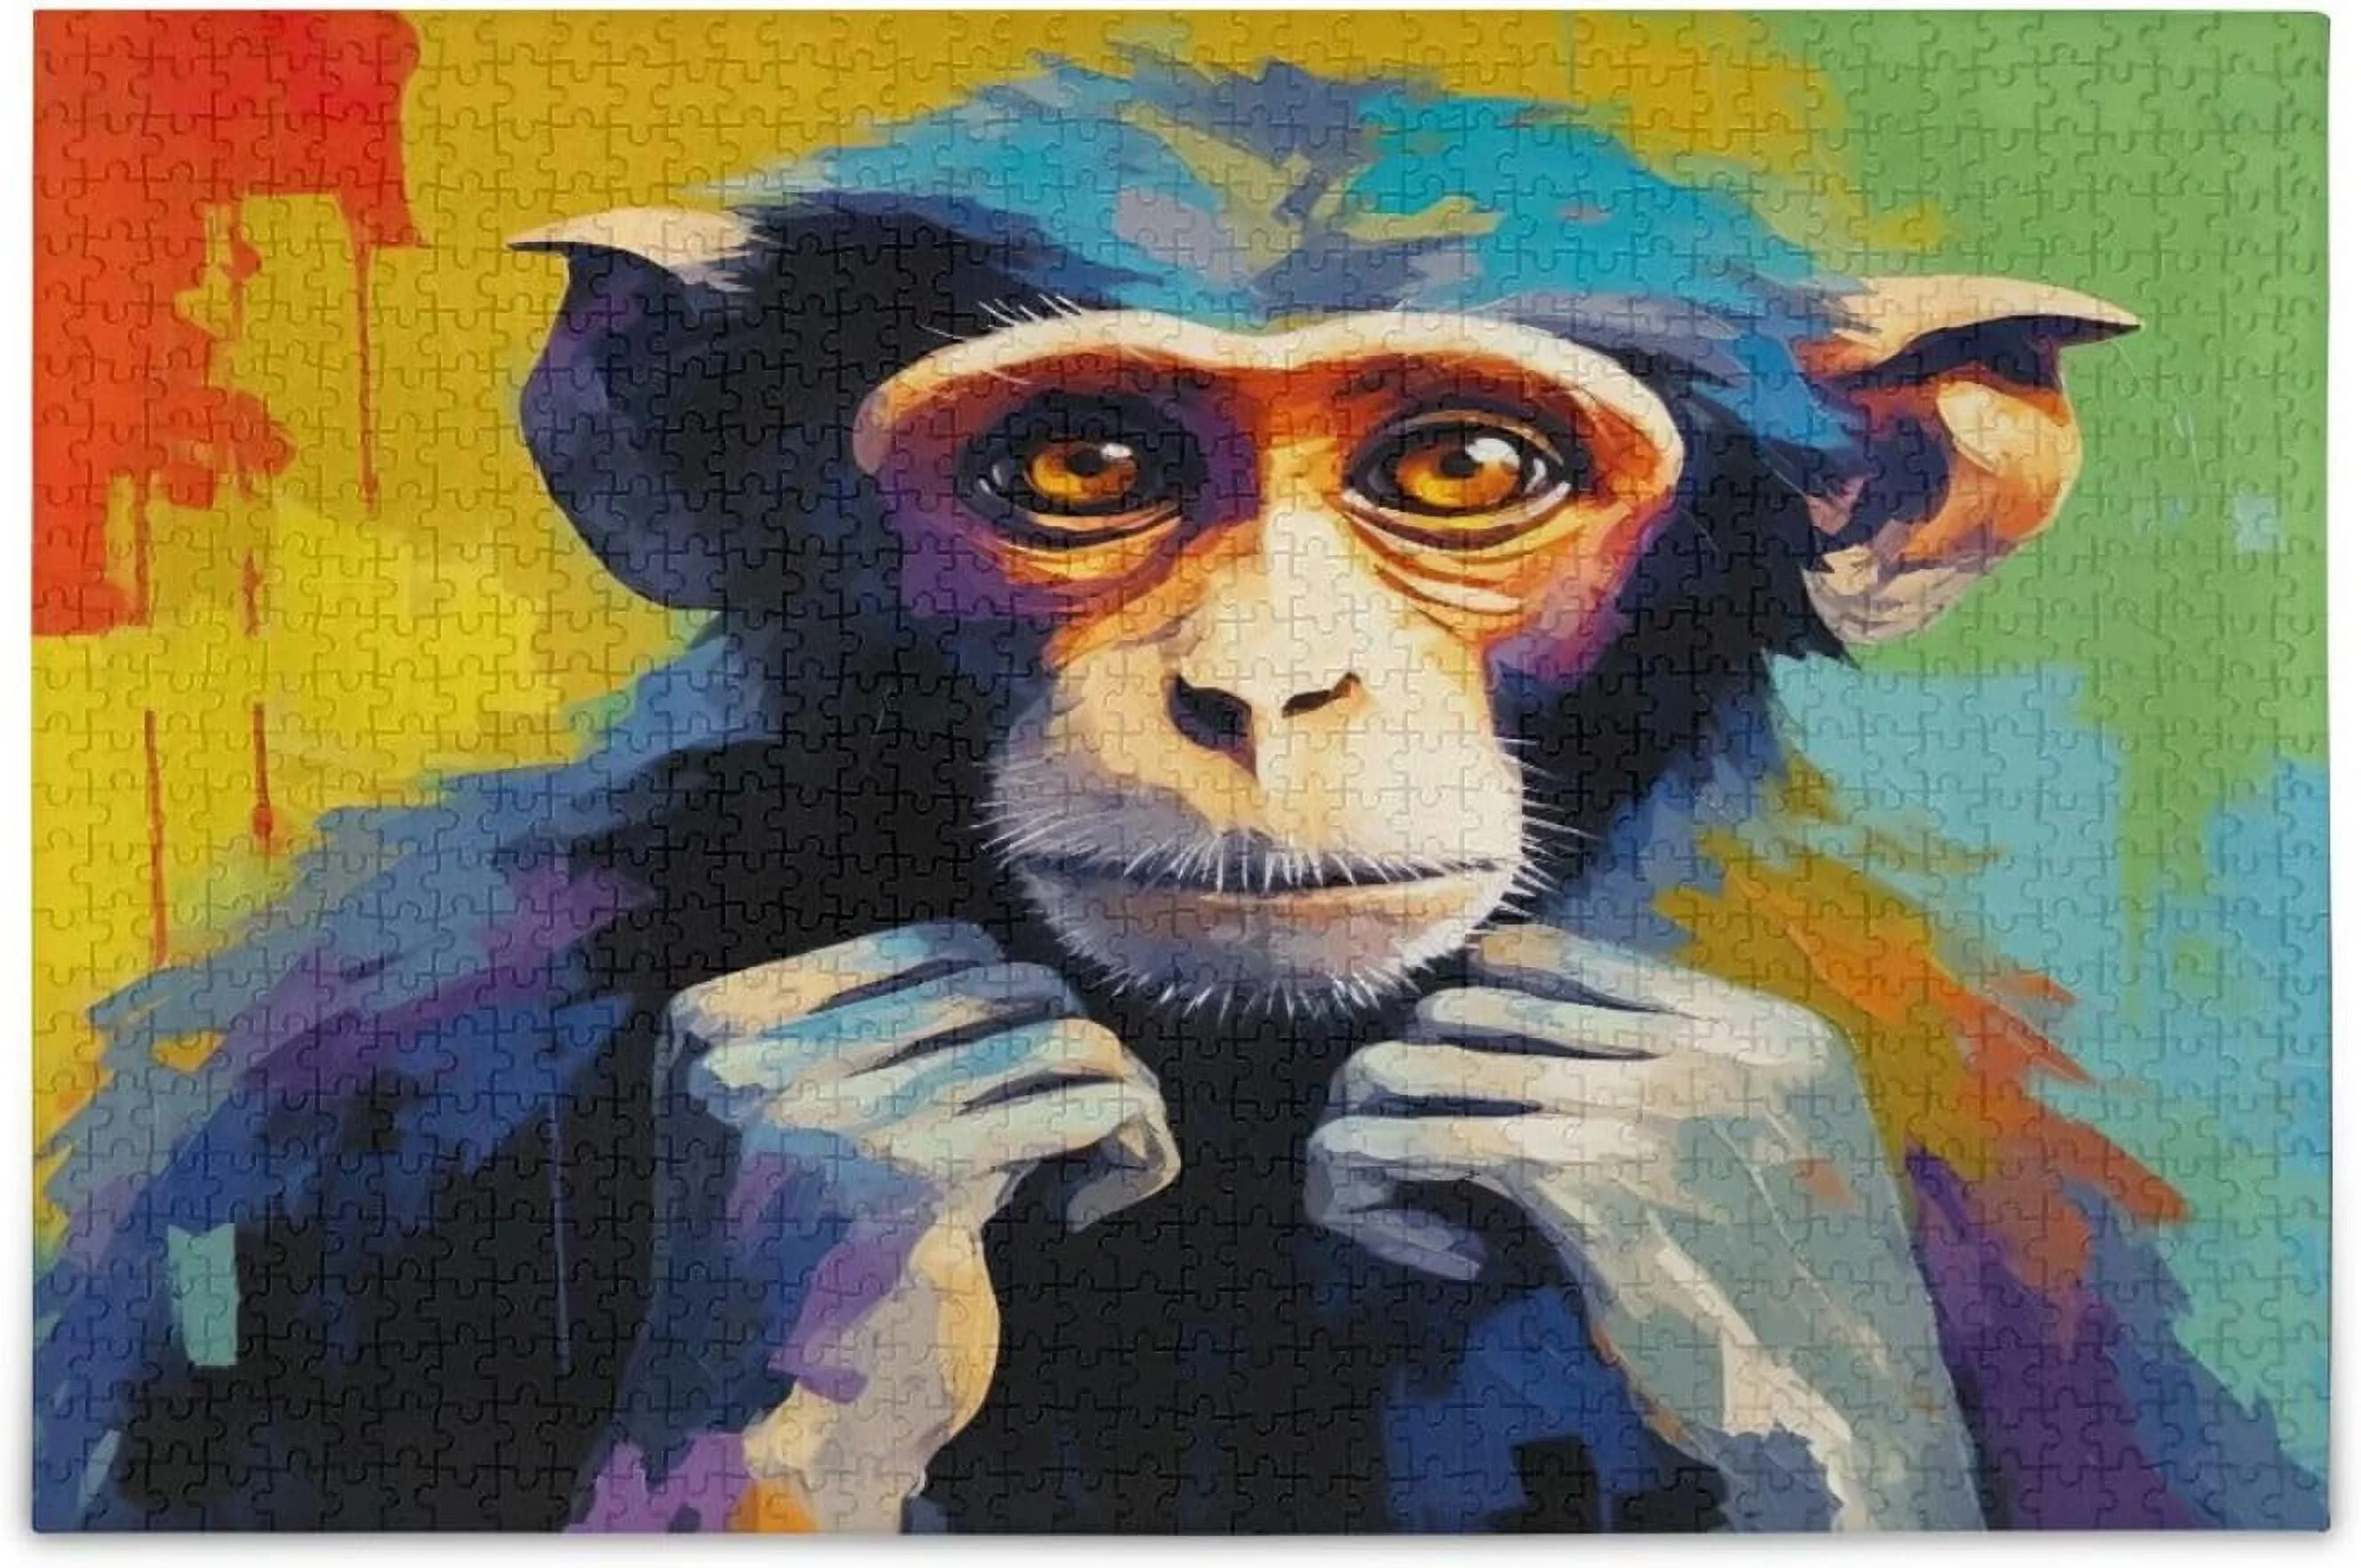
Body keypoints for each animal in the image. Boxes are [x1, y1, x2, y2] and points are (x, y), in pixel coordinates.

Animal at [36, 58, 2323, 1533]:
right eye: (1083, 465)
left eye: (1461, 467)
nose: (1260, 687)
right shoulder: (351, 1074)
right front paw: (831, 1223)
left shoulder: (2001, 1162)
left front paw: (1733, 1216)